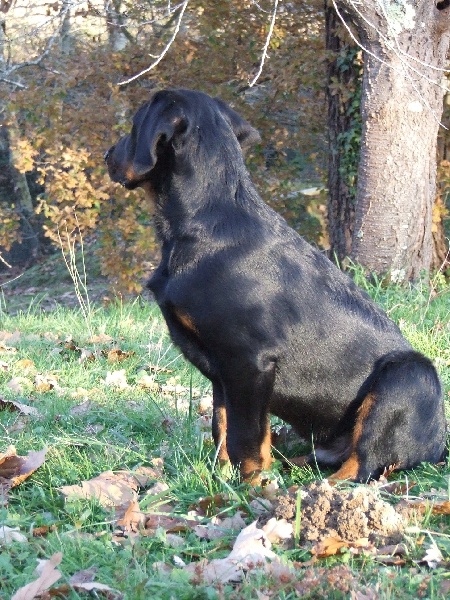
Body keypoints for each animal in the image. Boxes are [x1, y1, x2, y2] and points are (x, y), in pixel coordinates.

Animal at [105, 89, 446, 482]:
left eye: (133, 126)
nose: (107, 155)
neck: (205, 220)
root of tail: (439, 447)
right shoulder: (223, 375)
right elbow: (223, 427)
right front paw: (222, 477)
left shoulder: (249, 362)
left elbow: (246, 437)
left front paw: (249, 485)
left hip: (406, 376)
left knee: (362, 464)